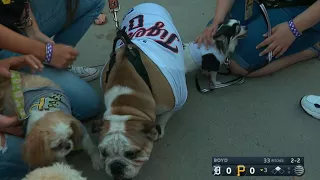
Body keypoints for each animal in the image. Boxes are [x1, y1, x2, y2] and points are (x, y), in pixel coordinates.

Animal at [97, 2, 188, 180]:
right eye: (103, 153)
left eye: (132, 154)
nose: (115, 166)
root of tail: (147, 3)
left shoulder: (176, 102)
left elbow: (163, 118)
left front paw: (159, 130)